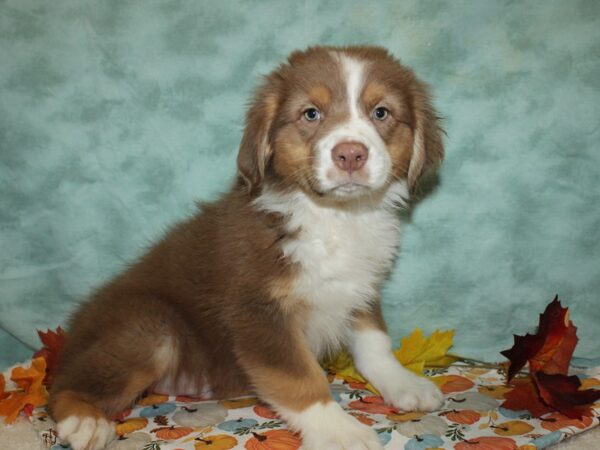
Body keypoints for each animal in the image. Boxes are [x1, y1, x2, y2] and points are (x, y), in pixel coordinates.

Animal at [49, 45, 446, 450]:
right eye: (311, 113)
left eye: (381, 112)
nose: (350, 154)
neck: (335, 217)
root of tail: (75, 329)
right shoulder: (257, 310)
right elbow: (300, 378)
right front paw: (341, 431)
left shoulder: (359, 286)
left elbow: (374, 342)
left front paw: (404, 384)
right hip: (150, 330)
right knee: (62, 386)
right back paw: (84, 420)